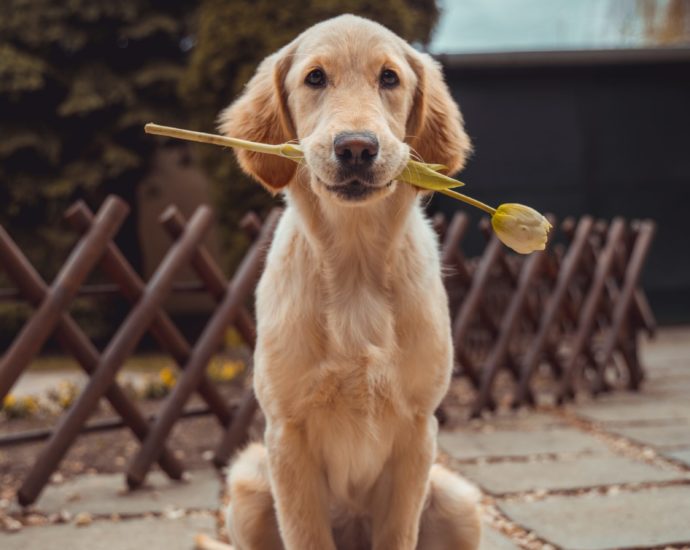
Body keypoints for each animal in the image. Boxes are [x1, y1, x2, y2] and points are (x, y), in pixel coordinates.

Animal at [219, 12, 478, 550]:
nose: (356, 148)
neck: (356, 266)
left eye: (389, 78)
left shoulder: (418, 431)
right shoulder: (286, 433)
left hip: (459, 502)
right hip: (249, 487)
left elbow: (399, 533)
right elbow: (306, 535)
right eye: (315, 77)